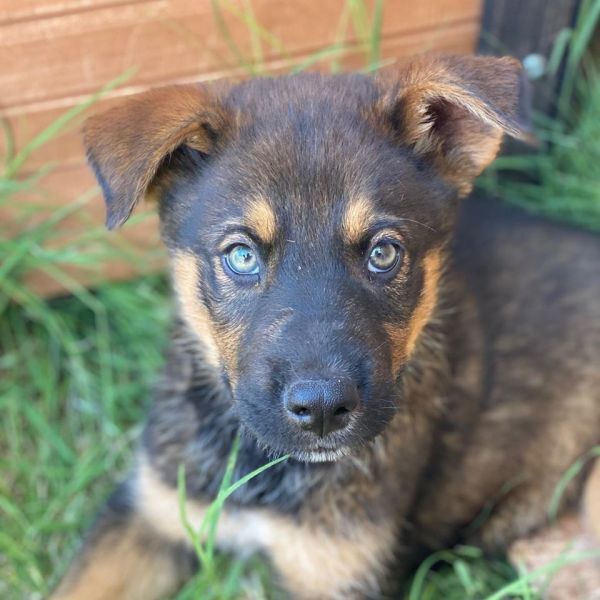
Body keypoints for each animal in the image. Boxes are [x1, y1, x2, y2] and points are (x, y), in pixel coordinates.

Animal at [52, 54, 600, 596]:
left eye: (383, 253)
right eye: (241, 256)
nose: (320, 410)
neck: (265, 466)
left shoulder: (340, 573)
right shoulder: (150, 512)